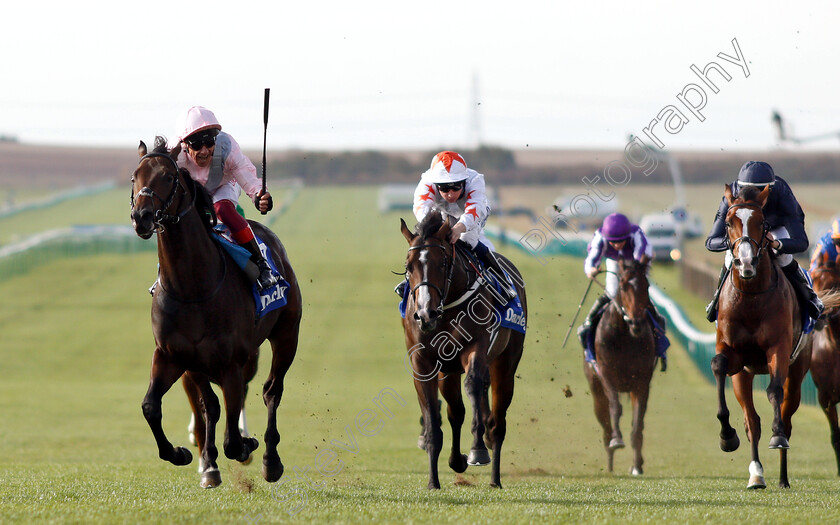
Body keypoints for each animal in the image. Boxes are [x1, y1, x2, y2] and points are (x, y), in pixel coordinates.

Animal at [131, 138, 302, 488]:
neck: (192, 287)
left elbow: (233, 438)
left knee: (272, 391)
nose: (141, 216)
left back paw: (271, 459)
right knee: (211, 405)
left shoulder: (231, 363)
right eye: (134, 177)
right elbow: (153, 407)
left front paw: (247, 445)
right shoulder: (174, 355)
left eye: (168, 177)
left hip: (287, 334)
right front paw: (182, 454)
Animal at [708, 183, 840, 488]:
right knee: (752, 422)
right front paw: (726, 436)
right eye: (728, 223)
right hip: (743, 377)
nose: (745, 262)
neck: (751, 298)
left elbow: (774, 391)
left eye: (762, 223)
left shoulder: (778, 350)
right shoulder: (734, 355)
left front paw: (776, 434)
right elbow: (718, 365)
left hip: (799, 370)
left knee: (787, 415)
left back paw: (782, 476)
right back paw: (756, 474)